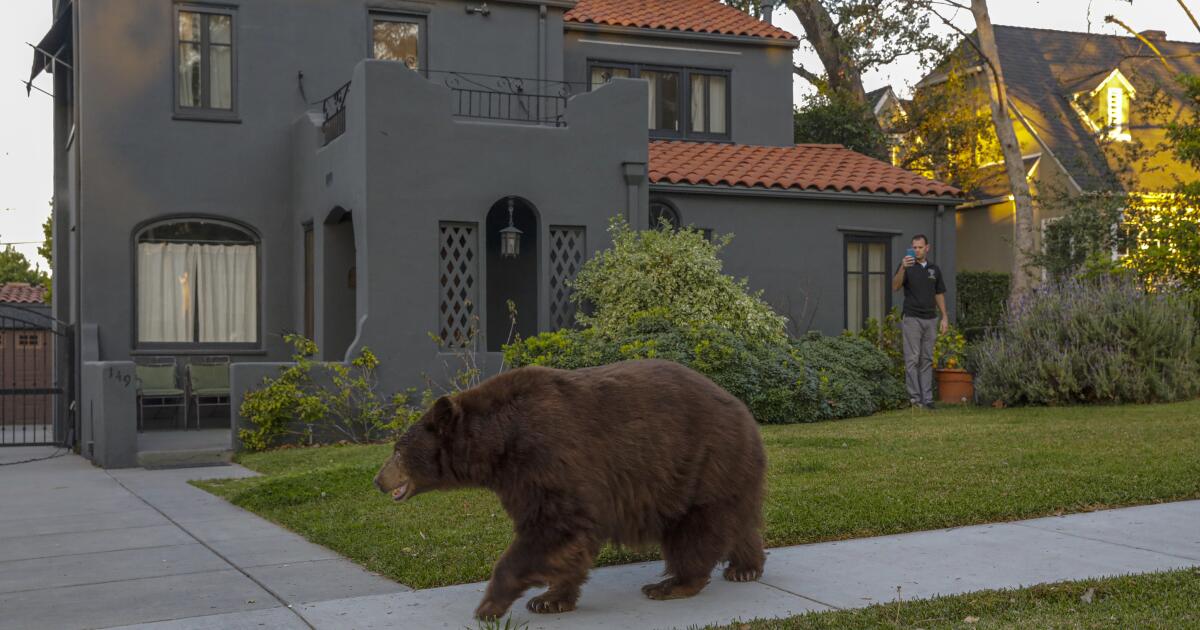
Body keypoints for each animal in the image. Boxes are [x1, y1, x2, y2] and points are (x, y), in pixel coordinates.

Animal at [373, 358, 766, 620]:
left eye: (397, 450)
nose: (378, 481)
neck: (499, 443)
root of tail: (743, 410)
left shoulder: (547, 458)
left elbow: (552, 529)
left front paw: (488, 605)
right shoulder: (520, 480)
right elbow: (567, 543)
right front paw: (549, 598)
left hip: (701, 462)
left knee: (697, 530)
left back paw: (671, 584)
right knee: (737, 520)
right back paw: (745, 567)